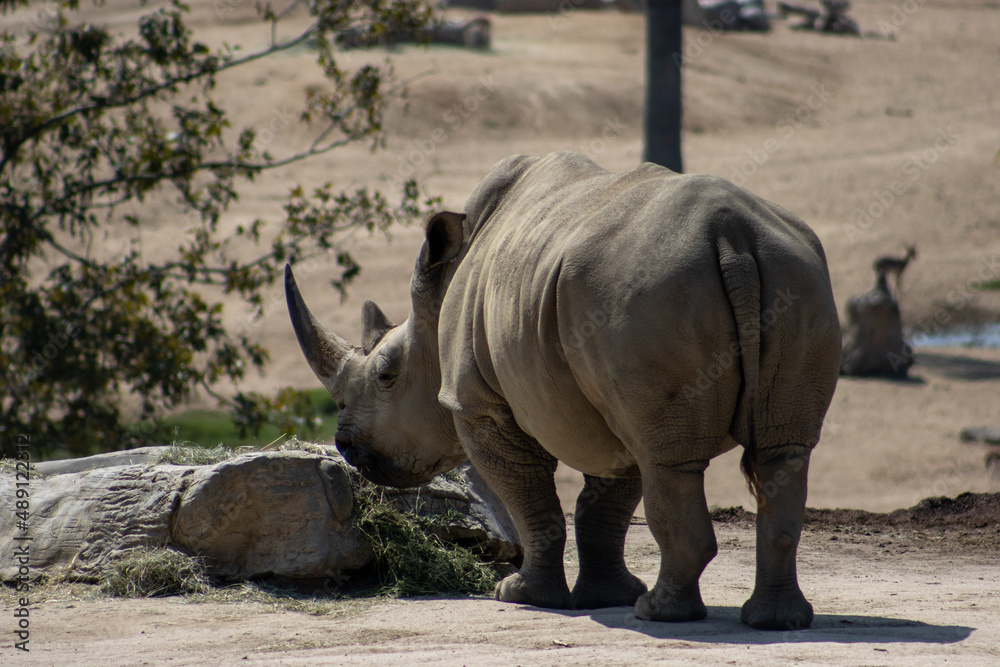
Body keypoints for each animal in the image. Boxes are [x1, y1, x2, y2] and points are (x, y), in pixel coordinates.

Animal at [285, 151, 841, 629]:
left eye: (385, 374)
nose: (347, 447)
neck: (438, 296)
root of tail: (731, 237)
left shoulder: (480, 404)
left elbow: (530, 498)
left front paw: (521, 595)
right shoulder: (603, 403)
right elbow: (608, 496)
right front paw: (606, 597)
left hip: (647, 294)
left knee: (668, 459)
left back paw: (659, 614)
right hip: (794, 275)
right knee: (781, 450)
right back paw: (776, 621)